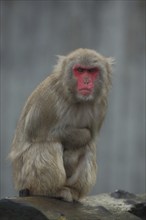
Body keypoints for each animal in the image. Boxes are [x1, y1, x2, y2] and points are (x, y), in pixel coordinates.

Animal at [8, 48, 114, 201]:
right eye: (80, 70)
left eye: (92, 71)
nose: (86, 81)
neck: (76, 98)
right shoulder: (47, 98)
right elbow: (36, 131)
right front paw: (81, 137)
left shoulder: (101, 106)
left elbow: (90, 140)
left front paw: (73, 155)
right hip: (25, 179)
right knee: (49, 145)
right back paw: (50, 191)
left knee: (89, 148)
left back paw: (74, 190)